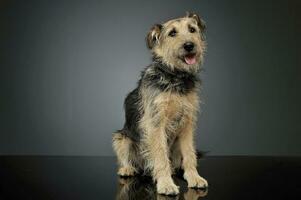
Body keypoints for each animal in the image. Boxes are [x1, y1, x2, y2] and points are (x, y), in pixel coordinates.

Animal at [111, 12, 207, 195]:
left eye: (192, 30)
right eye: (172, 33)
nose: (189, 45)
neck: (175, 77)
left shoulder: (187, 124)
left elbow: (189, 154)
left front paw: (194, 177)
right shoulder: (156, 122)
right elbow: (161, 155)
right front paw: (166, 183)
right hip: (121, 138)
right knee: (128, 158)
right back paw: (127, 169)